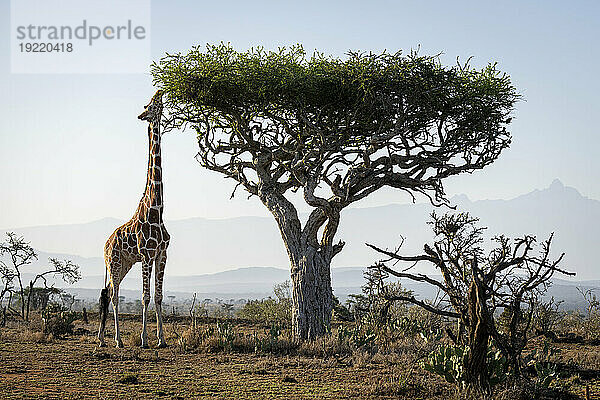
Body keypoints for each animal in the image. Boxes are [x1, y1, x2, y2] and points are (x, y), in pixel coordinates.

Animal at [97, 90, 170, 346]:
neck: (157, 210)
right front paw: (144, 339)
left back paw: (102, 338)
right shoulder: (147, 255)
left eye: (155, 105)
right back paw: (117, 340)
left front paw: (161, 339)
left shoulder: (162, 254)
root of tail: (106, 243)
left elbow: (158, 296)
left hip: (125, 263)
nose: (141, 115)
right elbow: (145, 297)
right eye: (148, 106)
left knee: (107, 292)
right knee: (114, 295)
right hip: (114, 262)